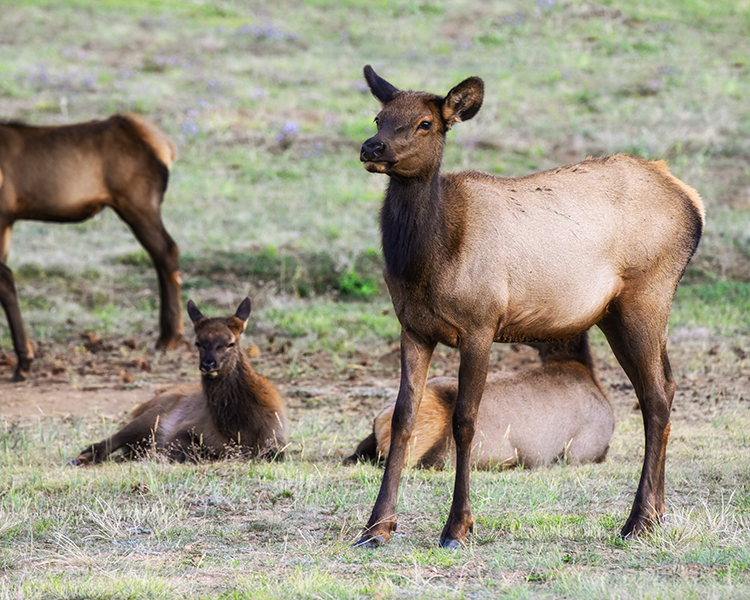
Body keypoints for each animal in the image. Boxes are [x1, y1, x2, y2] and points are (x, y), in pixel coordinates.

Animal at [0, 115, 184, 382]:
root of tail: (166, 147)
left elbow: (4, 278)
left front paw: (24, 362)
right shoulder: (7, 221)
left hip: (138, 203)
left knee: (166, 250)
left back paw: (168, 338)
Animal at [72, 298, 288, 464]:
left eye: (230, 343)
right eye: (198, 342)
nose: (208, 364)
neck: (241, 430)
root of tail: (140, 408)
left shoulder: (277, 442)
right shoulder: (185, 430)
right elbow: (188, 451)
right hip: (148, 418)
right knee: (104, 443)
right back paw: (80, 458)